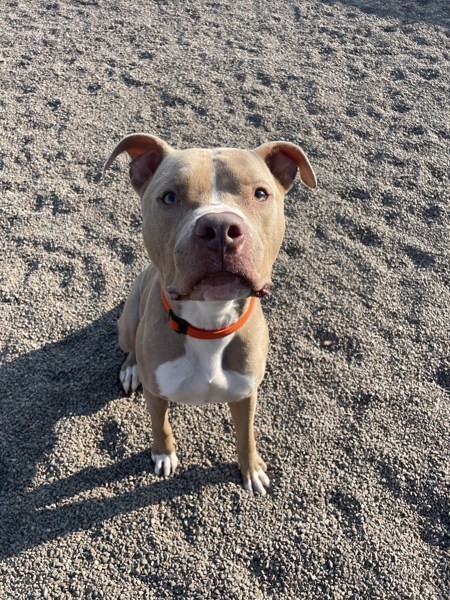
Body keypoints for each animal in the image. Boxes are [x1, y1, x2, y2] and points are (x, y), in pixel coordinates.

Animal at [104, 136, 316, 496]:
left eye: (260, 193)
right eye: (169, 197)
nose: (219, 227)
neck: (208, 323)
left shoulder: (246, 394)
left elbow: (246, 435)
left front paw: (251, 468)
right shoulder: (156, 394)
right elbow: (160, 425)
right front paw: (163, 454)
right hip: (127, 322)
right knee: (130, 346)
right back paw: (131, 369)